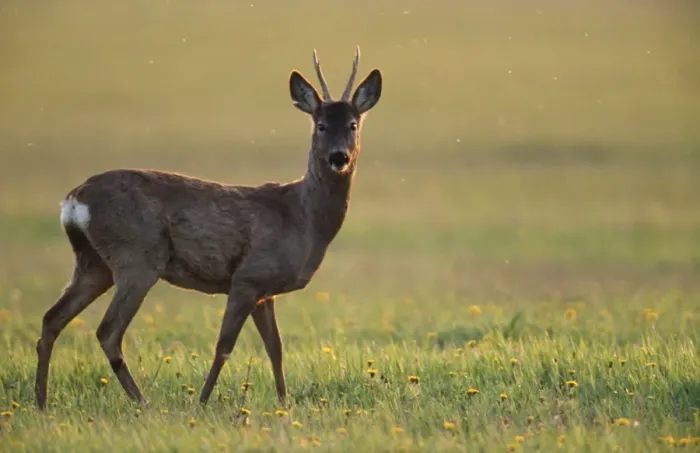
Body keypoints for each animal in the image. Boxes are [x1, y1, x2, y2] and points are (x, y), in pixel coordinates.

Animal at [34, 46, 382, 410]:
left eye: (353, 124)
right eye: (321, 125)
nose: (339, 157)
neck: (302, 218)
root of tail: (74, 200)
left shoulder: (265, 291)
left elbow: (276, 348)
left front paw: (284, 404)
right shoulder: (247, 277)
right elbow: (224, 347)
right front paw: (201, 402)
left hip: (94, 263)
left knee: (52, 319)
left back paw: (42, 402)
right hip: (136, 258)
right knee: (108, 331)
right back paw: (143, 403)